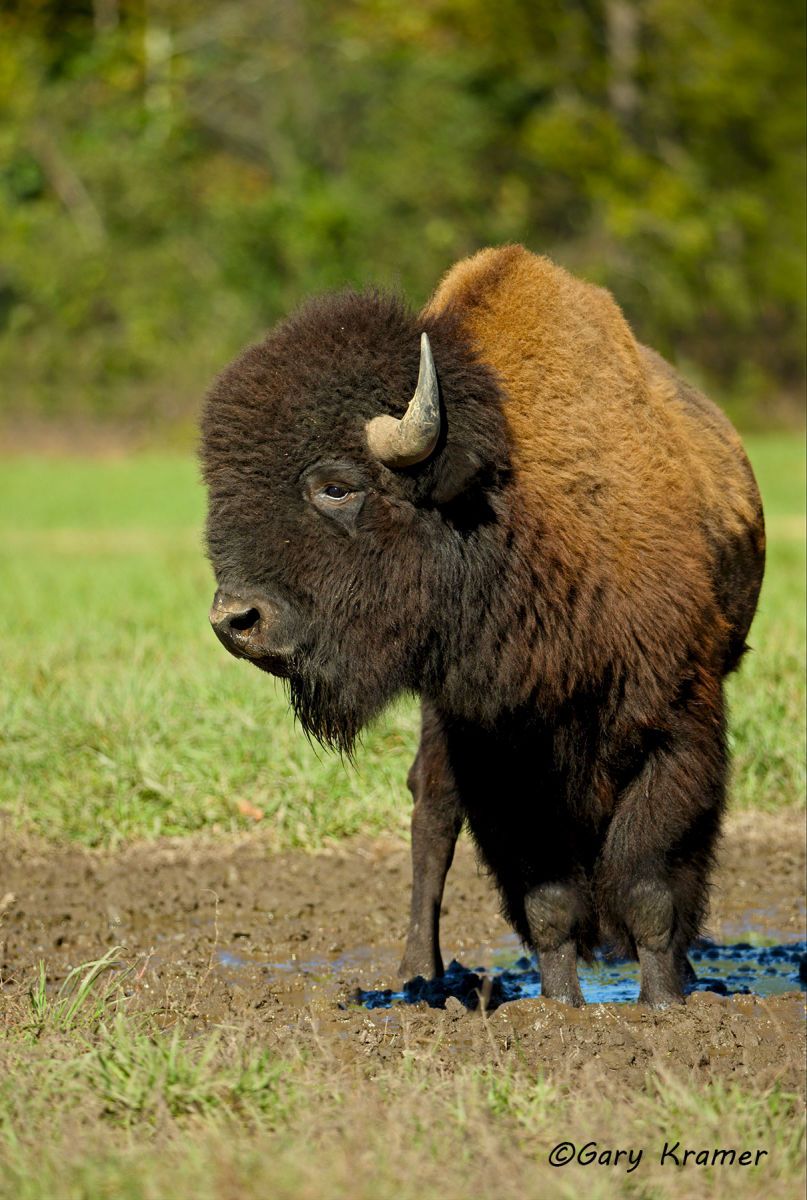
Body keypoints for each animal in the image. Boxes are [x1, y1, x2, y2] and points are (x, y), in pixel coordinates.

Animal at [200, 245, 764, 1007]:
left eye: (337, 486)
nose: (236, 620)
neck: (508, 510)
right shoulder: (495, 749)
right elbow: (548, 900)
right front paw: (561, 1009)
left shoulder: (676, 723)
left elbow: (651, 881)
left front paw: (663, 1002)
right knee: (432, 815)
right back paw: (421, 974)